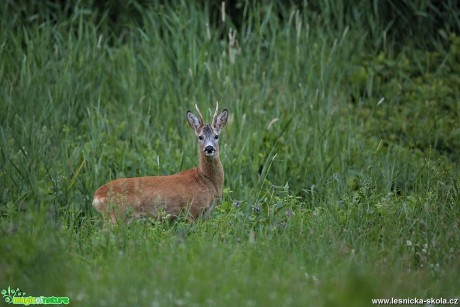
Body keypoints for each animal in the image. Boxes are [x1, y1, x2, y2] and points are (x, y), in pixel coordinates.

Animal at [92, 104, 229, 225]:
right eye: (200, 137)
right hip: (117, 216)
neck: (206, 180)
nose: (209, 148)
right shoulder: (192, 211)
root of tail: (97, 197)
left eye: (216, 136)